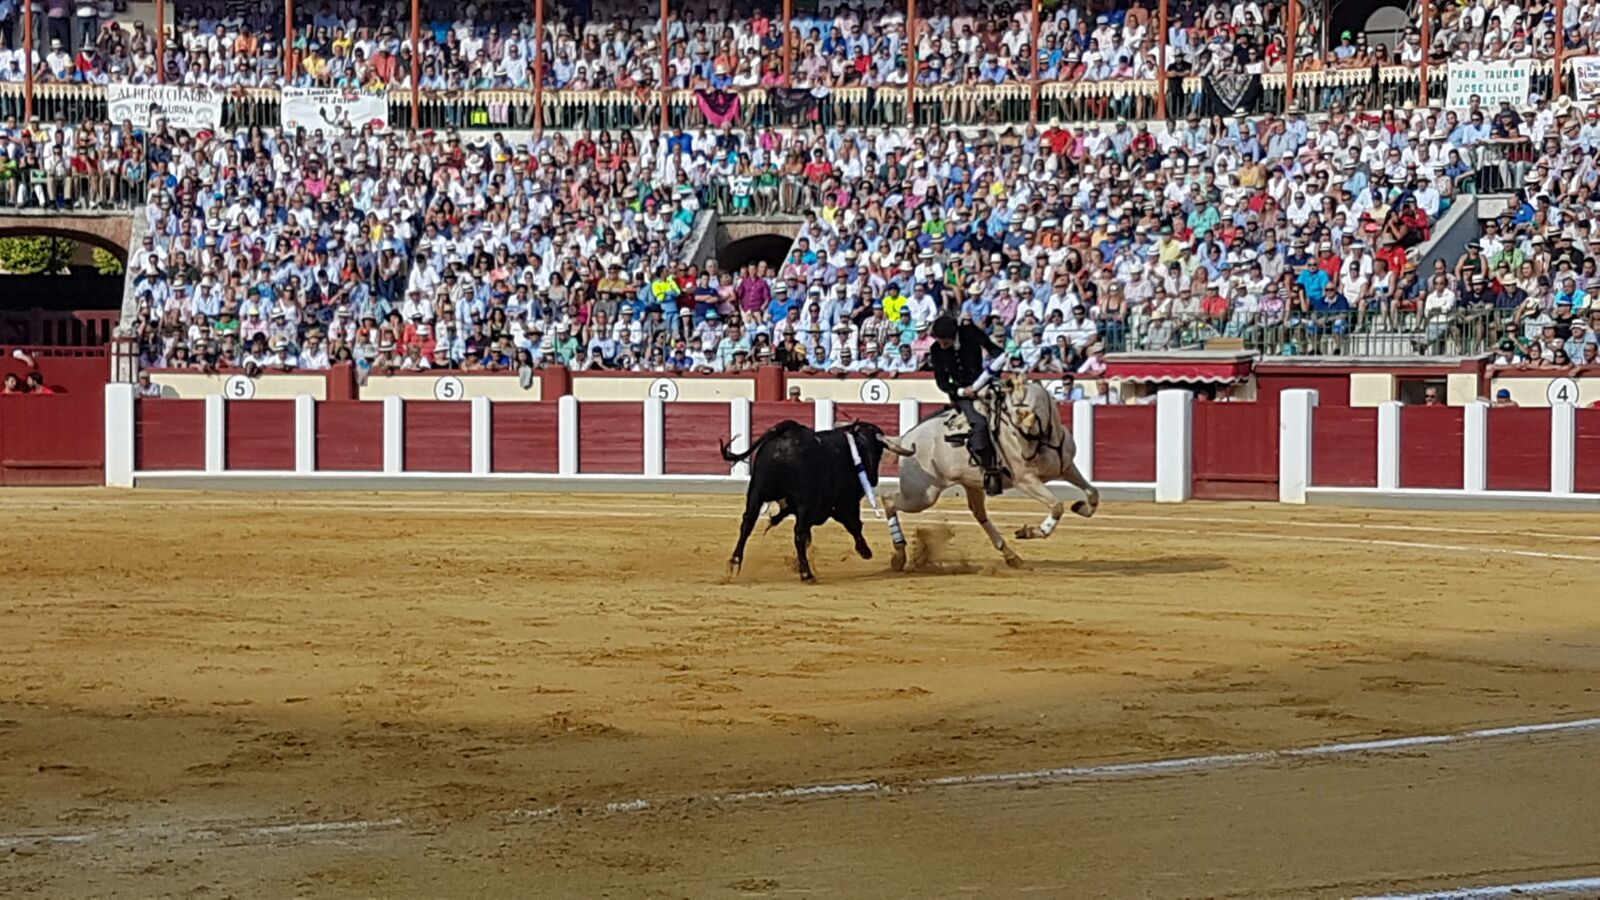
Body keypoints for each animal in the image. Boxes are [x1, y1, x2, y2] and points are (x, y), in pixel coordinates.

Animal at [723, 416, 915, 576]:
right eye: (878, 452)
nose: (873, 479)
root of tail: (787, 433)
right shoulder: (845, 503)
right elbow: (854, 525)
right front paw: (865, 551)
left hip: (757, 490)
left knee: (747, 523)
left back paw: (735, 562)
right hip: (803, 501)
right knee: (798, 533)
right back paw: (806, 573)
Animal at [876, 373, 1100, 566]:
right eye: (1011, 420)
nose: (1024, 454)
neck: (1045, 438)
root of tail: (906, 438)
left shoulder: (1067, 468)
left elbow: (1092, 492)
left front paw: (1081, 508)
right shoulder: (1026, 480)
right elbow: (1057, 506)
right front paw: (1031, 532)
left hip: (970, 484)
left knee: (979, 513)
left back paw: (1011, 555)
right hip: (922, 495)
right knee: (888, 500)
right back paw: (899, 555)